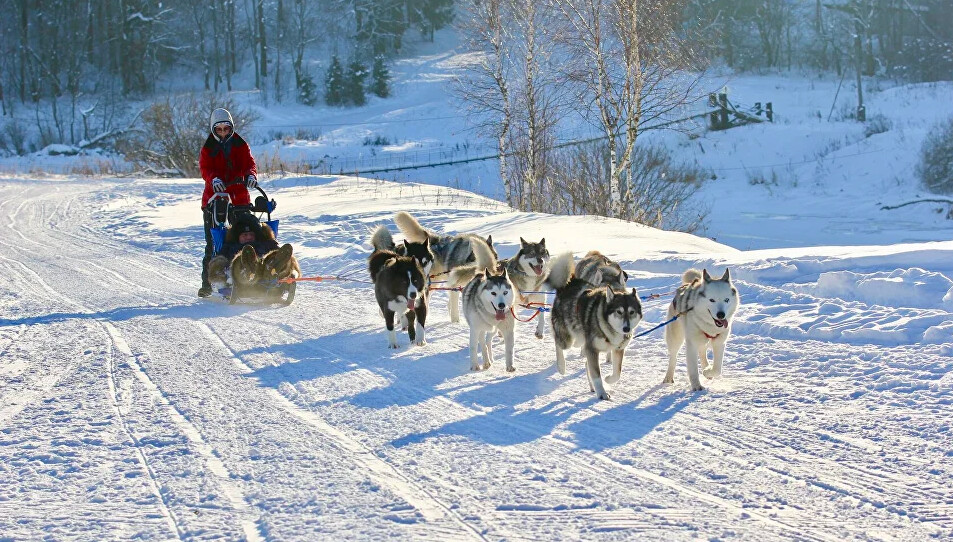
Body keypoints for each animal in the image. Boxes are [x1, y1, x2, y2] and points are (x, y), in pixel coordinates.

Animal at [460, 238, 516, 374]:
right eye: (493, 293)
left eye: (505, 292)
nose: (502, 305)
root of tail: (482, 273)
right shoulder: (475, 329)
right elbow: (474, 347)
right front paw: (474, 365)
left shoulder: (508, 330)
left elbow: (509, 349)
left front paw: (509, 366)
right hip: (480, 328)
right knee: (483, 342)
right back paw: (486, 361)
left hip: (493, 330)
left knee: (488, 341)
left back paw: (489, 358)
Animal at [548, 253, 644, 402]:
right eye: (619, 312)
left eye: (632, 312)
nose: (626, 329)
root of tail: (570, 283)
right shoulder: (592, 349)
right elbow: (597, 375)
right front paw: (602, 393)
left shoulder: (618, 349)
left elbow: (617, 372)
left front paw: (608, 379)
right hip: (569, 340)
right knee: (559, 345)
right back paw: (561, 367)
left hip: (581, 340)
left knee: (585, 362)